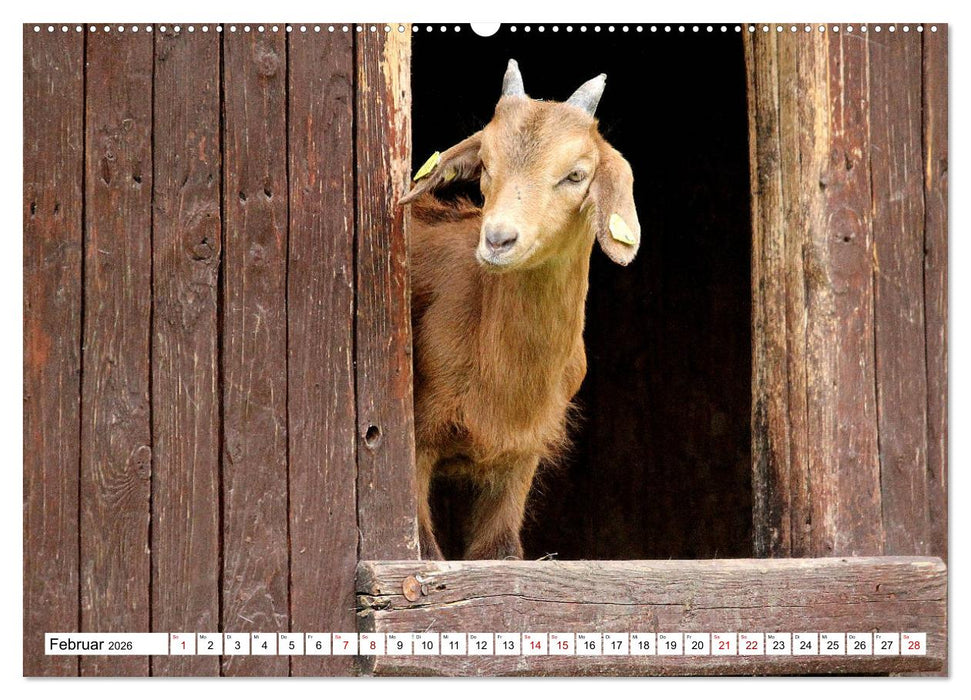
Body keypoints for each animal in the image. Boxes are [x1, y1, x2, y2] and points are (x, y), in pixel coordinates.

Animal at [400, 59, 641, 560]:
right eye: (486, 165)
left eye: (575, 175)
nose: (498, 239)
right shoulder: (418, 439)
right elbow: (428, 551)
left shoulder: (521, 455)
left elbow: (498, 552)